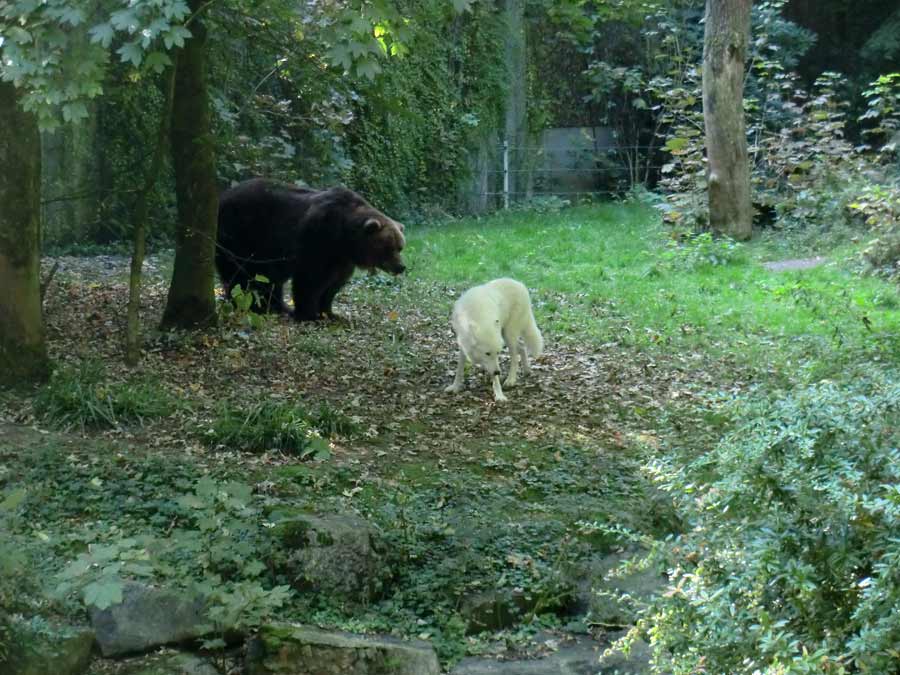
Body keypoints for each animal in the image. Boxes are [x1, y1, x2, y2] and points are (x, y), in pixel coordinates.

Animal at [214, 180, 404, 322]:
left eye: (400, 247)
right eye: (388, 248)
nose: (401, 267)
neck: (345, 237)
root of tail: (221, 197)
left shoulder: (342, 259)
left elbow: (333, 285)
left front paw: (330, 313)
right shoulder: (317, 238)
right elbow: (311, 280)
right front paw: (309, 314)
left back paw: (277, 307)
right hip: (241, 234)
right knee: (239, 273)